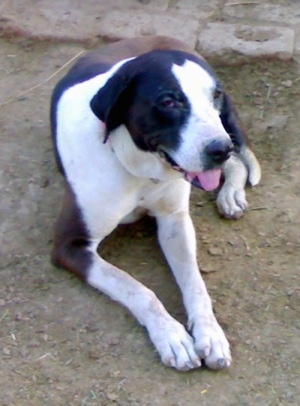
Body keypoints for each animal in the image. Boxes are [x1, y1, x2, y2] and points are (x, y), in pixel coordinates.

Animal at [49, 35, 260, 372]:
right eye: (168, 102)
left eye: (214, 95)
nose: (220, 149)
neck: (138, 167)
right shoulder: (70, 245)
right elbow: (134, 287)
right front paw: (172, 336)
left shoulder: (174, 220)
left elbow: (195, 283)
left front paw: (210, 332)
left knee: (238, 162)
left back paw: (231, 194)